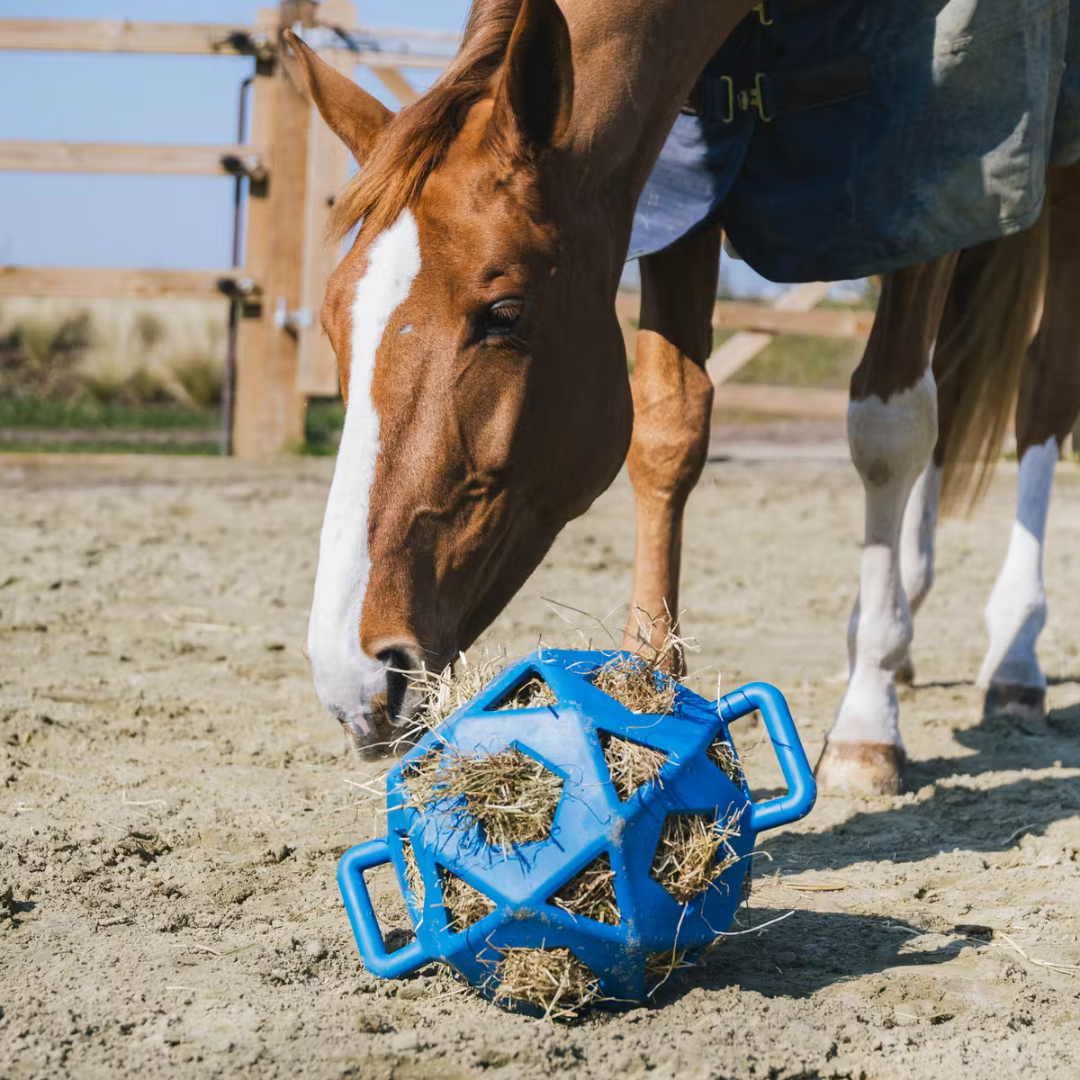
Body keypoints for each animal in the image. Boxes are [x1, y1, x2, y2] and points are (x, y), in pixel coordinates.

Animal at [289, 0, 1076, 795]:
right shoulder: (684, 174)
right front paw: (646, 684)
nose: (356, 679)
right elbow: (668, 424)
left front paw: (866, 720)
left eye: (503, 313)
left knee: (1042, 385)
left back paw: (1013, 656)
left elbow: (888, 431)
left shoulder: (921, 172)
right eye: (331, 322)